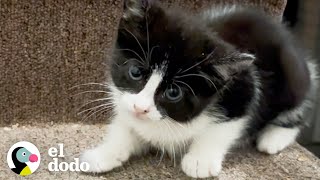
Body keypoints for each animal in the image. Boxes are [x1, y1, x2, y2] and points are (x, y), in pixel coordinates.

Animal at [80, 0, 318, 177]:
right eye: (136, 72)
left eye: (174, 92)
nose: (141, 108)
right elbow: (125, 126)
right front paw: (103, 154)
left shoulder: (244, 91)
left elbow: (223, 128)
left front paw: (200, 160)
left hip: (294, 81)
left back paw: (274, 138)